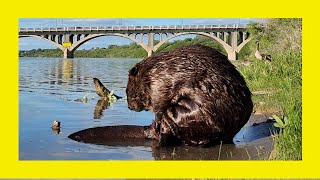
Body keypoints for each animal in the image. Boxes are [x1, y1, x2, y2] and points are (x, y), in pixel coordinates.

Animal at [126, 44, 254, 147]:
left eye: (127, 91)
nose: (129, 107)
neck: (150, 72)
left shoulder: (160, 85)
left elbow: (160, 106)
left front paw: (157, 120)